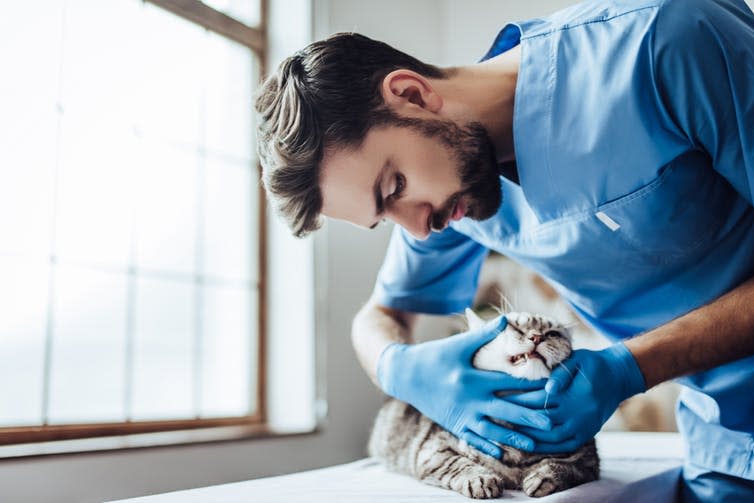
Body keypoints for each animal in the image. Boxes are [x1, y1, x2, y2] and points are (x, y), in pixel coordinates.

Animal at [368, 310, 596, 498]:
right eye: (514, 327)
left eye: (553, 334)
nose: (536, 337)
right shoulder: (432, 449)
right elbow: (458, 463)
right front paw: (480, 479)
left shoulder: (588, 460)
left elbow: (561, 466)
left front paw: (541, 478)